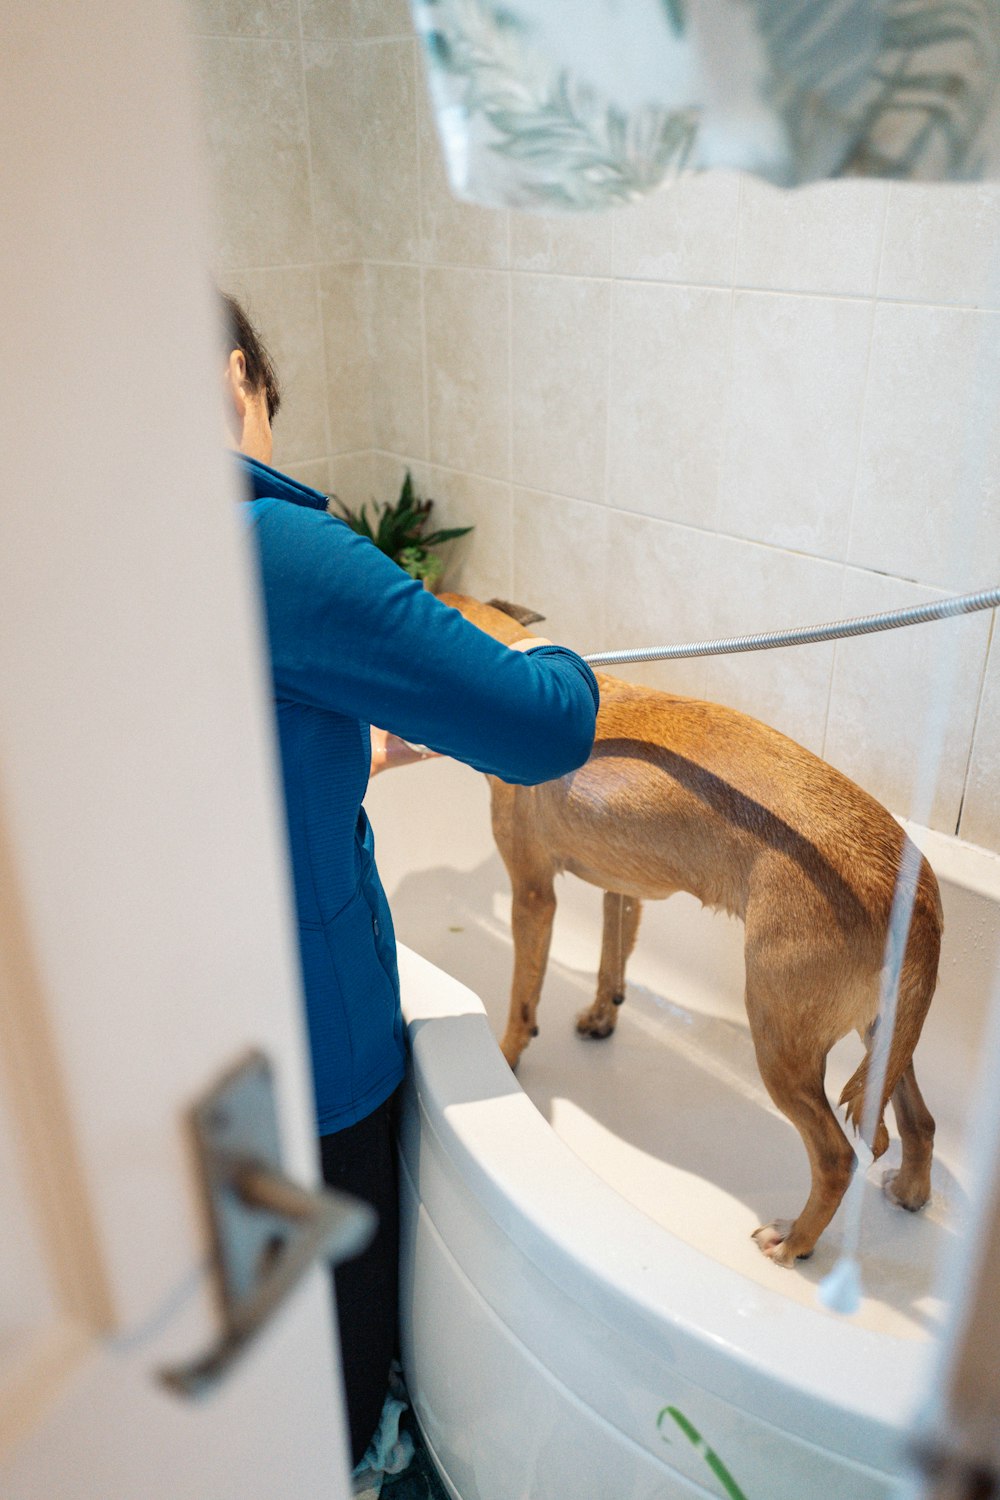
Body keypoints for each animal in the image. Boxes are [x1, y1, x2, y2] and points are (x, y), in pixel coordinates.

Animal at [440, 594, 941, 1266]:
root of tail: (913, 890)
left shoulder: (533, 895)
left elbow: (524, 998)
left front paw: (504, 1058)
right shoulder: (623, 887)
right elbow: (611, 961)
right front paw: (601, 1015)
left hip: (780, 1040)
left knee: (836, 1158)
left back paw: (794, 1242)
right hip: (880, 1035)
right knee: (919, 1120)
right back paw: (911, 1191)